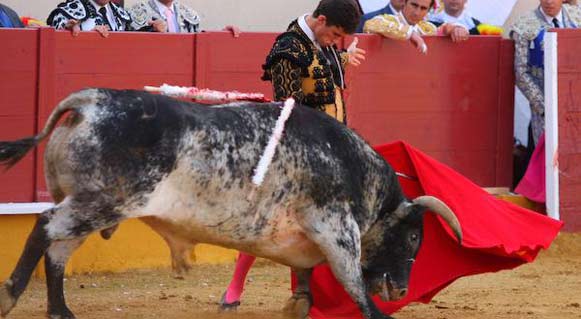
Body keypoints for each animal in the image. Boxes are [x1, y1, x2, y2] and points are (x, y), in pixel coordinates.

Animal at [0, 89, 462, 319]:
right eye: (414, 237)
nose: (402, 289)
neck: (354, 168)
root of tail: (91, 101)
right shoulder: (337, 229)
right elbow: (351, 281)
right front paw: (376, 314)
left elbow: (304, 270)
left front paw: (299, 303)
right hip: (101, 202)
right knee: (44, 227)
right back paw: (11, 295)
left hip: (88, 205)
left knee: (57, 251)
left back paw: (61, 311)